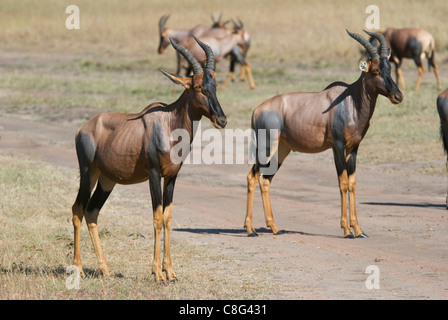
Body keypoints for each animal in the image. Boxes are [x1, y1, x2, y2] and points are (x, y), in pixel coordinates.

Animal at [73, 38, 228, 282]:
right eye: (198, 87)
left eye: (215, 86)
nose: (221, 120)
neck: (168, 123)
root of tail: (84, 128)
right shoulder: (154, 174)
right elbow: (156, 217)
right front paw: (157, 273)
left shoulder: (172, 177)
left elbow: (167, 217)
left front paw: (170, 272)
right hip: (88, 173)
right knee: (77, 210)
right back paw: (78, 268)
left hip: (107, 180)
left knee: (91, 212)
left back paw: (105, 270)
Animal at [245, 30, 402, 239]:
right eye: (375, 71)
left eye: (389, 68)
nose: (398, 96)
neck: (350, 100)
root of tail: (257, 110)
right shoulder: (337, 145)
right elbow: (342, 182)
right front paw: (347, 230)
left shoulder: (353, 148)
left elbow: (352, 183)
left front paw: (359, 230)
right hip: (266, 146)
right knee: (252, 177)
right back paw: (251, 230)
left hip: (282, 150)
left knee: (265, 180)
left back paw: (274, 227)